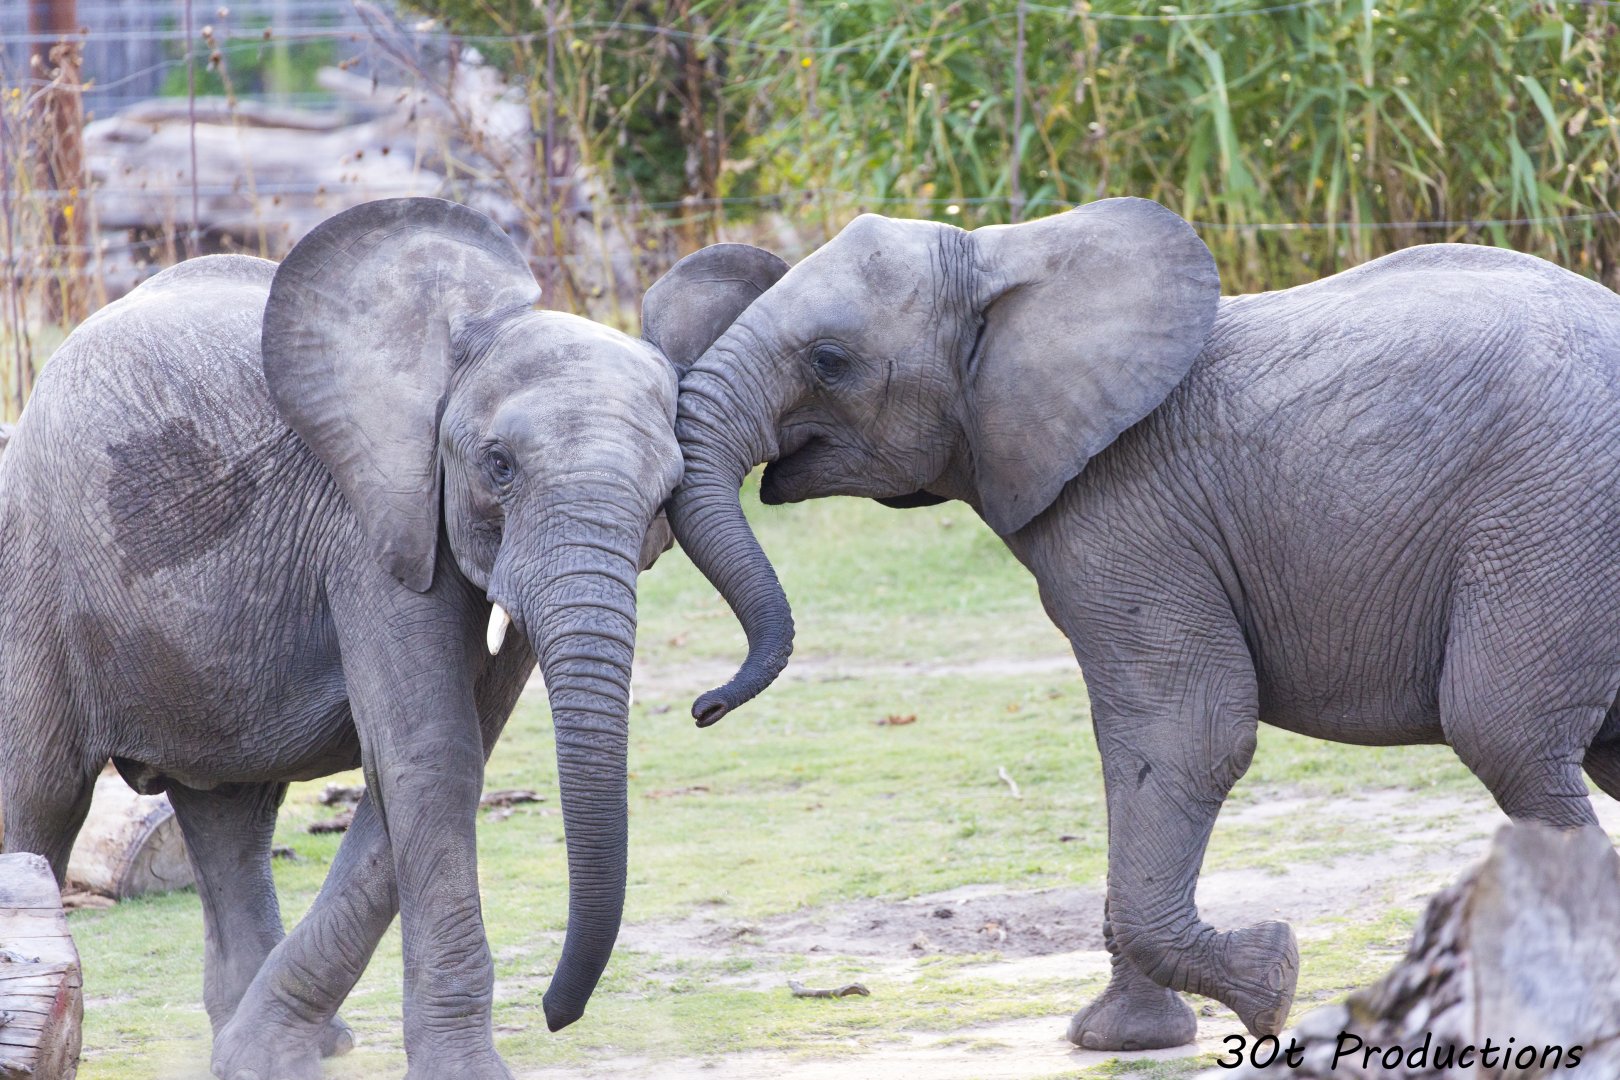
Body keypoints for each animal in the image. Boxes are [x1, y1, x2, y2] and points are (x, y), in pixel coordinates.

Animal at [0, 197, 758, 1079]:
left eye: (668, 489)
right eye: (498, 465)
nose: (555, 1013)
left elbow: (435, 760)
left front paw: (267, 1050)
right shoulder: (369, 524)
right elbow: (432, 758)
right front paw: (462, 1071)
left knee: (231, 817)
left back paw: (273, 1049)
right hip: (33, 568)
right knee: (42, 799)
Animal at [657, 197, 1620, 1051]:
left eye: (829, 360)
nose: (703, 709)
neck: (1001, 253)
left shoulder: (1128, 508)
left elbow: (1188, 730)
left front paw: (1273, 981)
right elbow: (1128, 751)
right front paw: (1122, 1039)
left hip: (1552, 515)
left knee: (1502, 732)